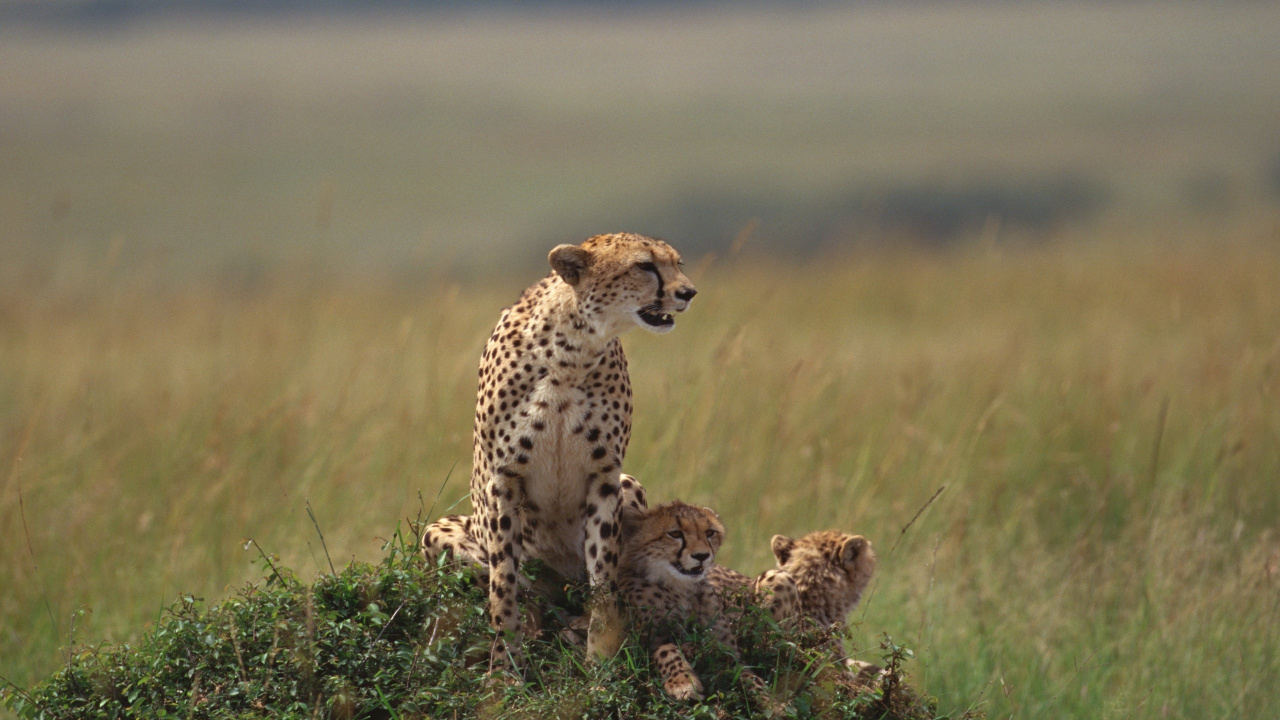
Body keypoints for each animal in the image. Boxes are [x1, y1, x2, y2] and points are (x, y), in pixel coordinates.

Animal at [421, 233, 696, 671]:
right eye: (645, 266)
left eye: (677, 264)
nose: (688, 292)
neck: (573, 352)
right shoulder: (503, 479)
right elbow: (504, 581)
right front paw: (505, 667)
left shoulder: (605, 477)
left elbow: (603, 572)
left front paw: (601, 656)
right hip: (440, 533)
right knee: (528, 592)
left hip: (629, 485)